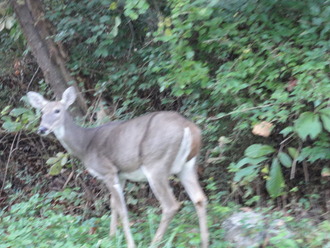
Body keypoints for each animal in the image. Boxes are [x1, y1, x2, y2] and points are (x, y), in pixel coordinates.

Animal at [28, 86, 209, 248]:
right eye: (42, 111)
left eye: (57, 110)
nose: (42, 129)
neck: (86, 146)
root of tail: (188, 127)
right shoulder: (120, 175)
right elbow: (113, 204)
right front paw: (112, 236)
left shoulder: (108, 170)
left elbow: (122, 209)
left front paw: (129, 243)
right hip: (187, 165)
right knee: (199, 198)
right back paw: (204, 242)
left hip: (156, 164)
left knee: (170, 205)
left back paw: (154, 243)